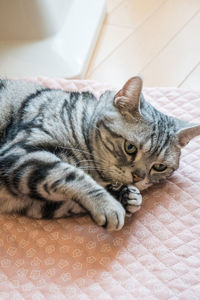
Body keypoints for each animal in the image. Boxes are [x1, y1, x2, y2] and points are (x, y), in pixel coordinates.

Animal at [0, 76, 200, 231]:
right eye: (130, 147)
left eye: (159, 167)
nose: (138, 178)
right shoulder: (20, 153)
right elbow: (69, 174)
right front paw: (109, 204)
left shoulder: (36, 204)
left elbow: (70, 199)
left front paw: (127, 196)